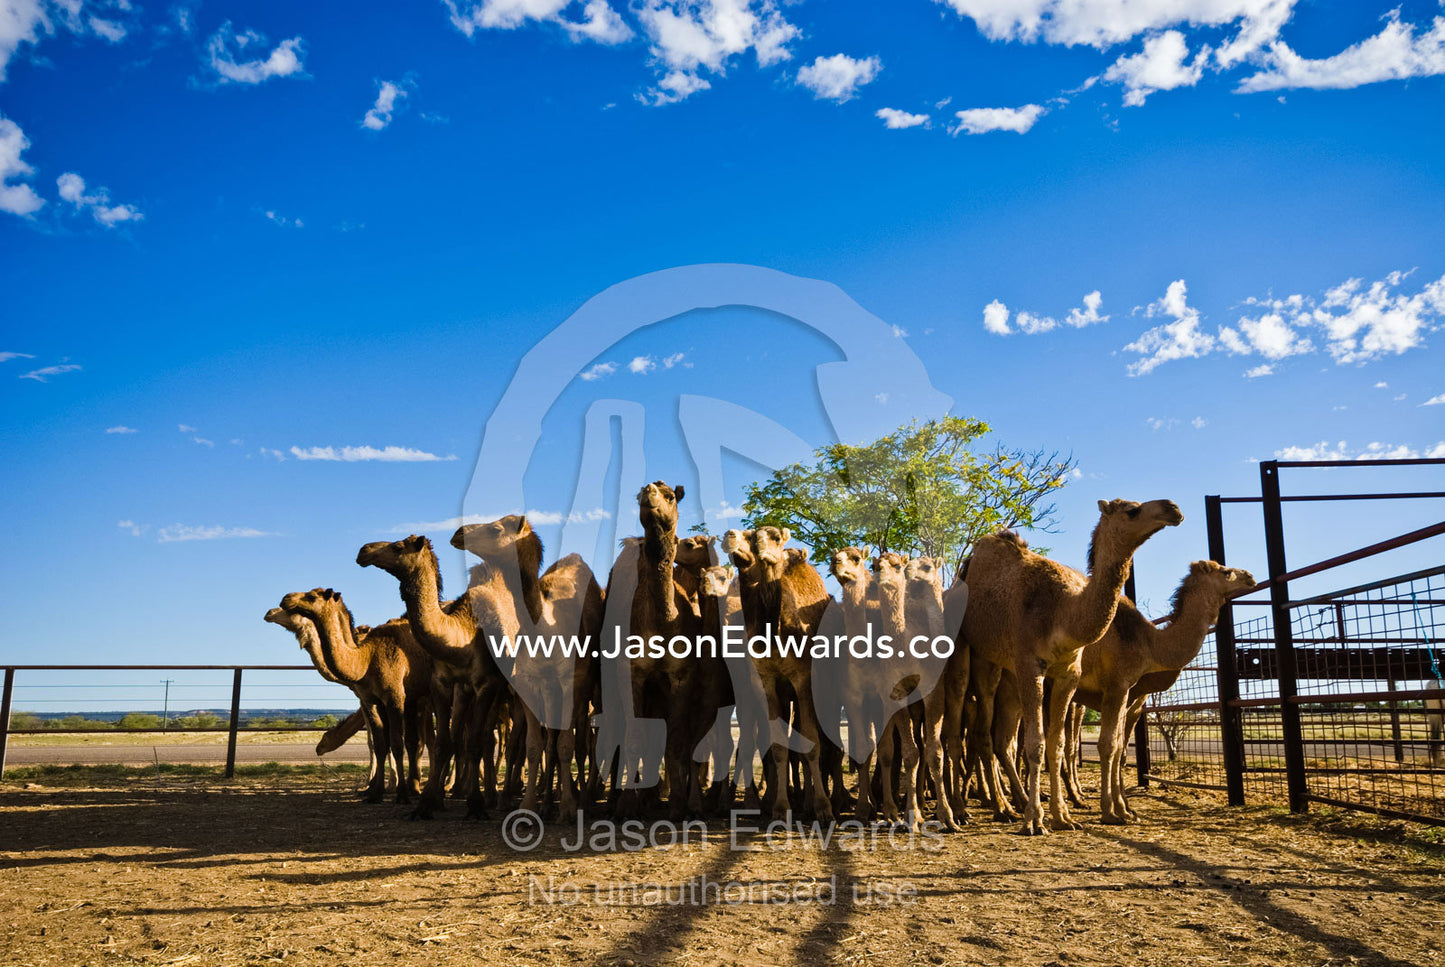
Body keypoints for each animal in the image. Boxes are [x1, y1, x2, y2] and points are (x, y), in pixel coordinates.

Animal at [275, 589, 434, 803]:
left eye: (312, 596)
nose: (285, 599)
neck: (366, 658)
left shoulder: (394, 697)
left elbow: (396, 743)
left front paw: (400, 793)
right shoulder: (371, 701)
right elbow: (380, 743)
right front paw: (375, 792)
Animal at [356, 534, 512, 818]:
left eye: (398, 546)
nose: (363, 551)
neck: (459, 636)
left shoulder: (487, 683)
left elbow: (473, 741)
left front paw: (475, 805)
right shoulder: (443, 685)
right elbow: (444, 742)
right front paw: (427, 803)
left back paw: (498, 797)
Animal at [450, 515, 604, 822]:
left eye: (496, 528)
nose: (458, 533)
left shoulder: (569, 683)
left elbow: (566, 745)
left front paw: (568, 809)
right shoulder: (529, 685)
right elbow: (533, 746)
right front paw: (529, 806)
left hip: (584, 690)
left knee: (582, 742)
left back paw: (583, 798)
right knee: (551, 740)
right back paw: (548, 802)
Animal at [722, 525, 833, 822]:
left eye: (774, 537)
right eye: (753, 536)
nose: (731, 534)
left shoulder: (803, 678)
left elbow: (811, 742)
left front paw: (822, 807)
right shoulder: (767, 680)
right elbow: (778, 745)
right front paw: (781, 808)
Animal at [954, 498, 1184, 834]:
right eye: (1132, 510)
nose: (1172, 508)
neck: (1064, 614)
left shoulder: (1068, 674)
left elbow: (1058, 744)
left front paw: (1062, 816)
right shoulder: (1030, 666)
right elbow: (1035, 743)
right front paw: (1035, 821)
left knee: (1002, 740)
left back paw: (1015, 802)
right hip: (983, 660)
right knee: (984, 735)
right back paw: (1002, 808)